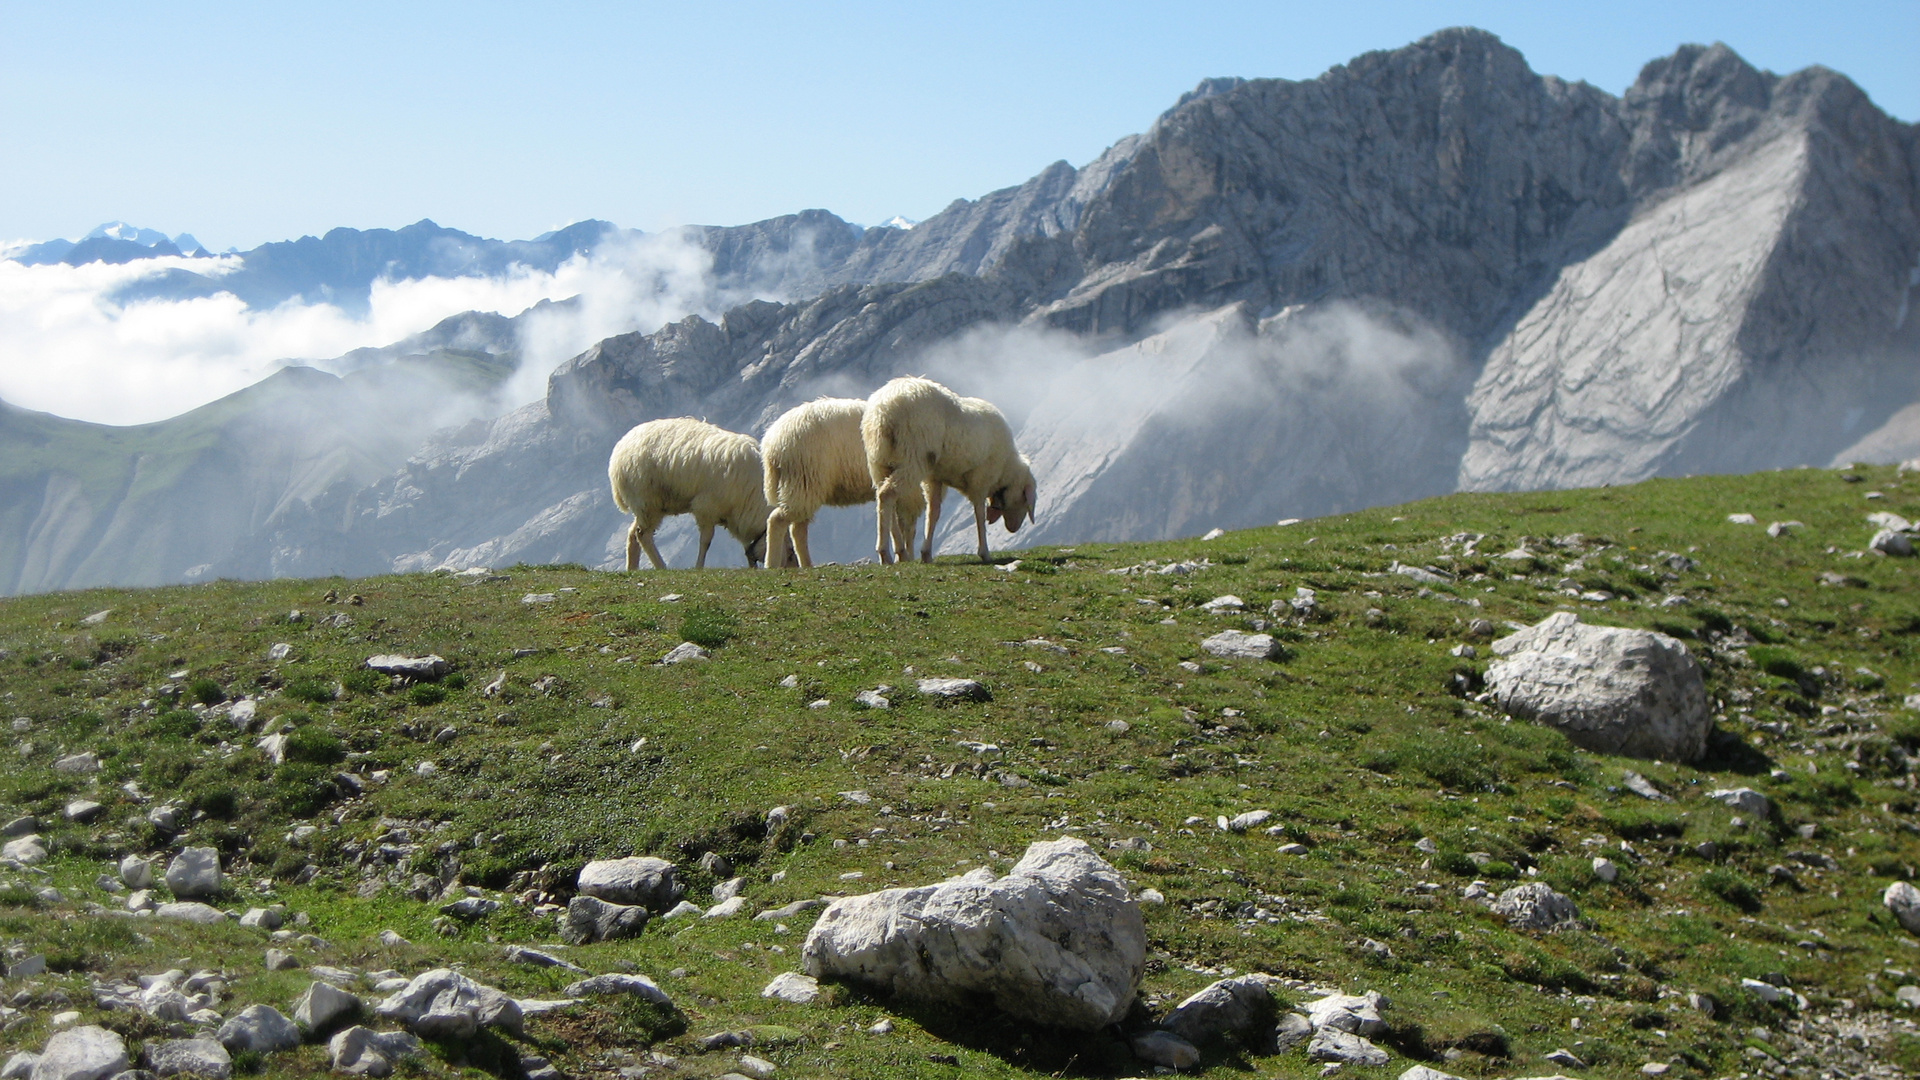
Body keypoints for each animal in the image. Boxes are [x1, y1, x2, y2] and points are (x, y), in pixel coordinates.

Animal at [606, 413, 771, 572]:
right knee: (643, 535)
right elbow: (706, 541)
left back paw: (632, 568)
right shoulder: (706, 507)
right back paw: (661, 567)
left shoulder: (736, 517)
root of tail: (620, 447)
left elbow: (745, 544)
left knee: (633, 533)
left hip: (649, 506)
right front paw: (699, 566)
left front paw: (752, 567)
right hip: (647, 501)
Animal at [756, 393, 921, 564]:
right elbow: (906, 524)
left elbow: (893, 518)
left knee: (797, 529)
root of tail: (771, 444)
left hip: (802, 485)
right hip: (803, 479)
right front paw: (904, 555)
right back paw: (772, 563)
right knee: (777, 520)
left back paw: (807, 564)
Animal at [860, 374, 1036, 564]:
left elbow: (933, 512)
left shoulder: (935, 478)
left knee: (883, 498)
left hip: (878, 462)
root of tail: (884, 410)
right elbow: (979, 514)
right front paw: (984, 552)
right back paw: (886, 552)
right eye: (1025, 499)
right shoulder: (980, 480)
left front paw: (926, 553)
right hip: (912, 457)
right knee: (888, 494)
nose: (1014, 529)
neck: (1006, 469)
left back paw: (898, 552)